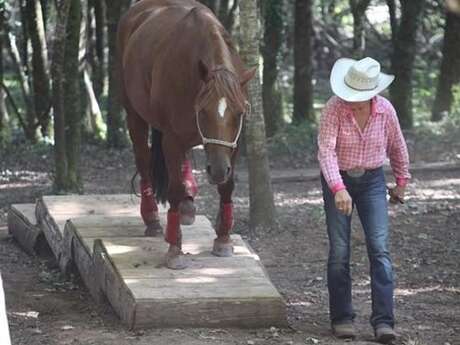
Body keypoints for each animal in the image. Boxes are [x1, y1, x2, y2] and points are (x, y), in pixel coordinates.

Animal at [117, 0, 255, 268]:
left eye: (239, 113)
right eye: (203, 111)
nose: (218, 169)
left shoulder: (233, 143)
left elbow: (227, 186)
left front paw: (223, 239)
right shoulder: (172, 137)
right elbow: (173, 188)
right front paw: (175, 249)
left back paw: (188, 205)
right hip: (134, 113)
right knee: (144, 160)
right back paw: (152, 217)